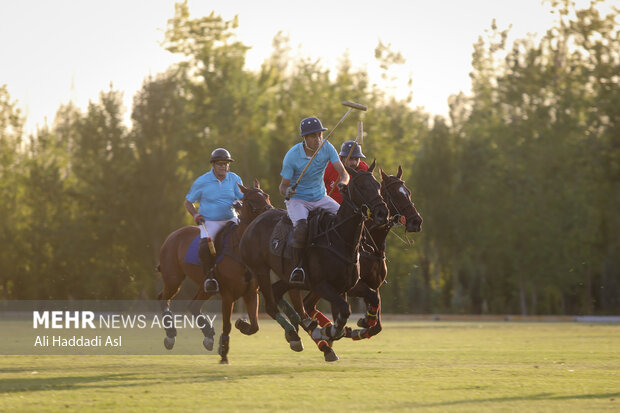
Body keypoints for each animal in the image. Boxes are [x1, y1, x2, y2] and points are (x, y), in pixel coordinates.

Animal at [156, 179, 270, 362]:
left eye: (266, 195)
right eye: (252, 199)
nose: (270, 211)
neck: (240, 248)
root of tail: (172, 235)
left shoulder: (251, 292)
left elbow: (254, 326)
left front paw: (241, 324)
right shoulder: (228, 295)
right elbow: (227, 326)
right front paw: (223, 354)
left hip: (205, 285)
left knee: (193, 305)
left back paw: (208, 336)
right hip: (173, 278)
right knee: (163, 298)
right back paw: (171, 335)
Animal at [239, 161, 388, 360]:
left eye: (378, 185)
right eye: (361, 186)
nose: (382, 213)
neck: (339, 239)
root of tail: (254, 221)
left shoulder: (347, 285)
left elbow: (371, 297)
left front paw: (365, 321)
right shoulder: (322, 285)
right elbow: (344, 310)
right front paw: (329, 332)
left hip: (286, 278)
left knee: (279, 294)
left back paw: (306, 328)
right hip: (261, 270)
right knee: (271, 305)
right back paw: (296, 335)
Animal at [304, 164, 424, 342]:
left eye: (408, 192)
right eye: (394, 193)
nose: (416, 221)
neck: (370, 247)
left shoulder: (374, 285)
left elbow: (377, 324)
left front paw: (363, 323)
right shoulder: (352, 286)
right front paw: (355, 326)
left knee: (308, 304)